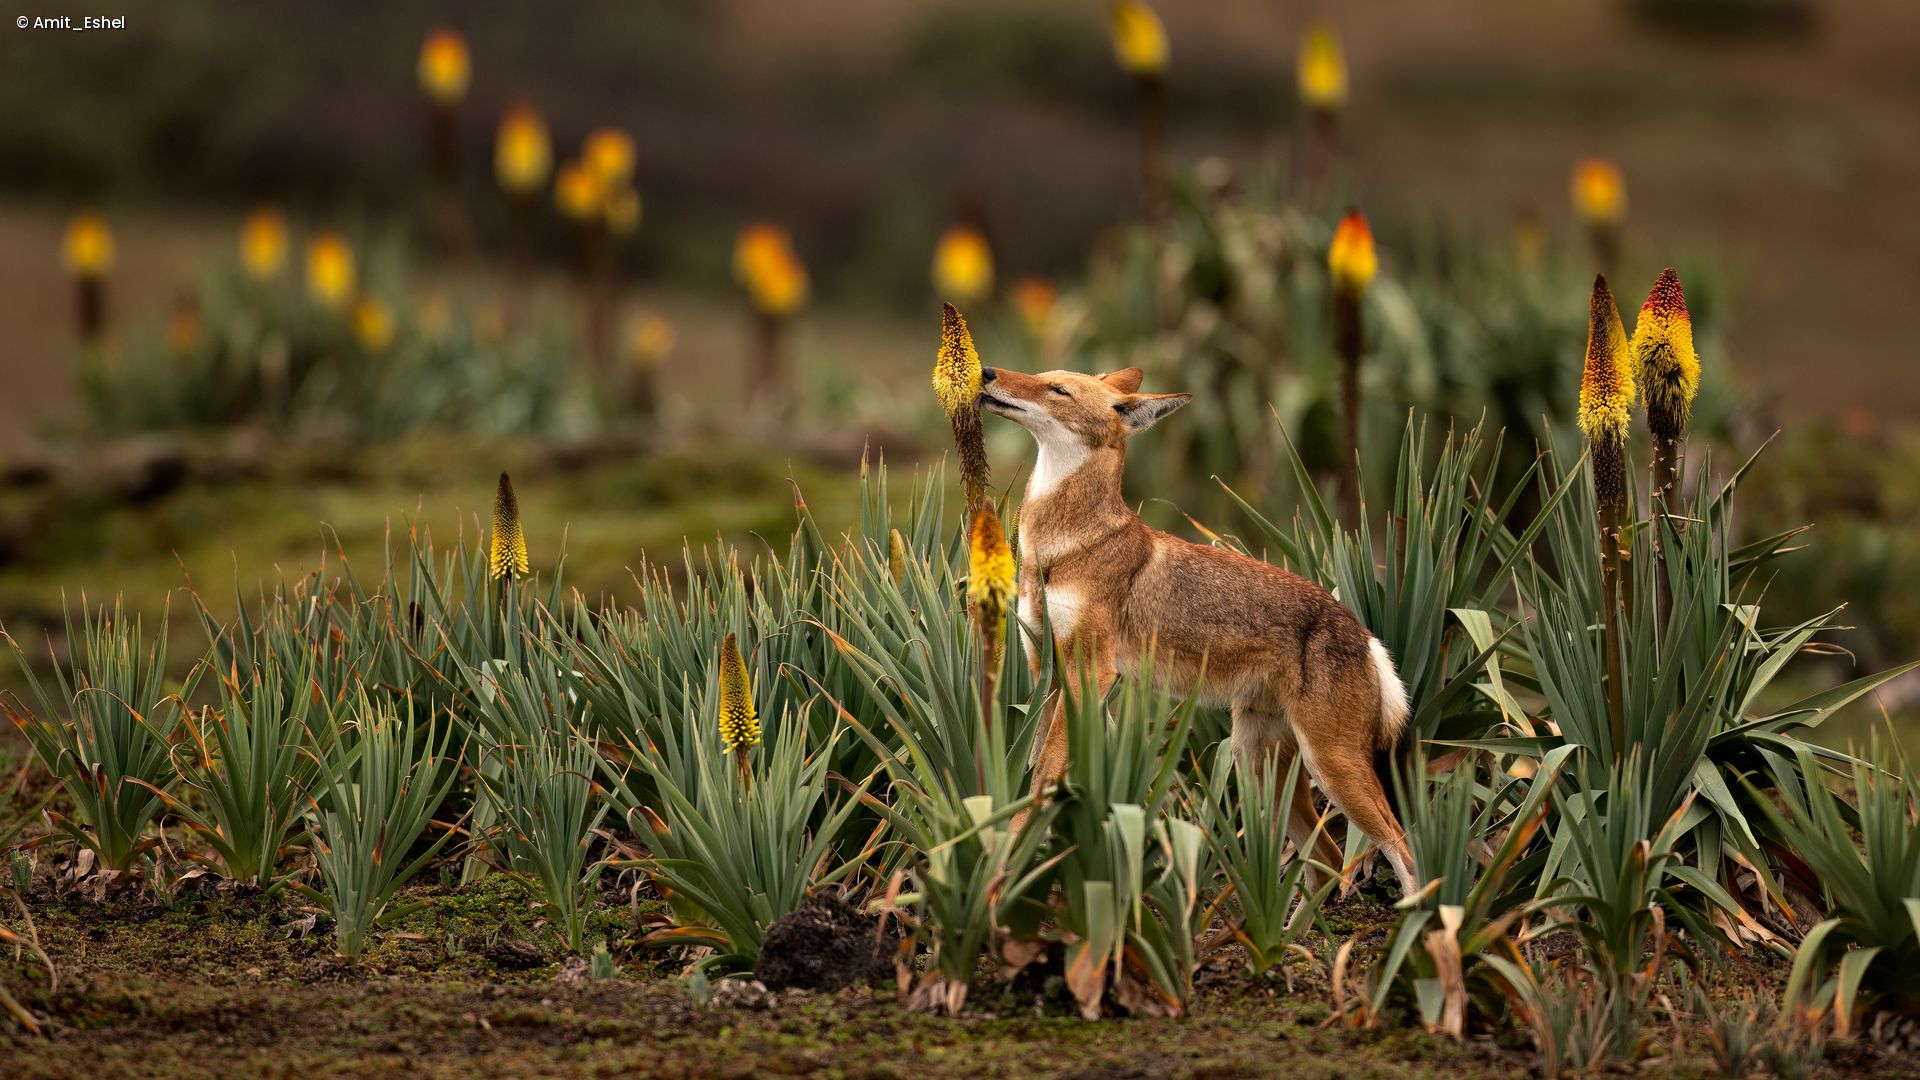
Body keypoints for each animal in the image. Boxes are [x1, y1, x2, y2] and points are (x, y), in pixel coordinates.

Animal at [979, 364, 1416, 895]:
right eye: (1042, 374)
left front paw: (1010, 854)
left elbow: (1042, 774)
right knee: (1327, 860)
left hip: (1330, 768)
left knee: (1403, 848)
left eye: (1056, 389)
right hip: (1260, 768)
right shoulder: (1046, 669)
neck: (1058, 548)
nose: (987, 371)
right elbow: (1033, 765)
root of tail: (1363, 631)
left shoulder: (1090, 673)